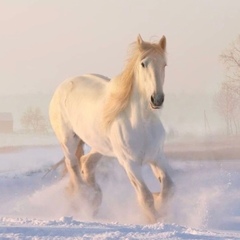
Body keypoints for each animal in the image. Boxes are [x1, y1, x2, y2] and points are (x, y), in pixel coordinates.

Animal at [49, 35, 172, 223]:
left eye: (164, 64)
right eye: (143, 64)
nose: (157, 99)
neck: (142, 124)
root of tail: (63, 86)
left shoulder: (157, 157)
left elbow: (168, 188)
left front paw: (160, 205)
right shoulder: (130, 164)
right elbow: (145, 197)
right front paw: (155, 219)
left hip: (100, 146)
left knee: (87, 162)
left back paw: (94, 198)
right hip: (68, 140)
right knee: (73, 165)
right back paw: (85, 198)